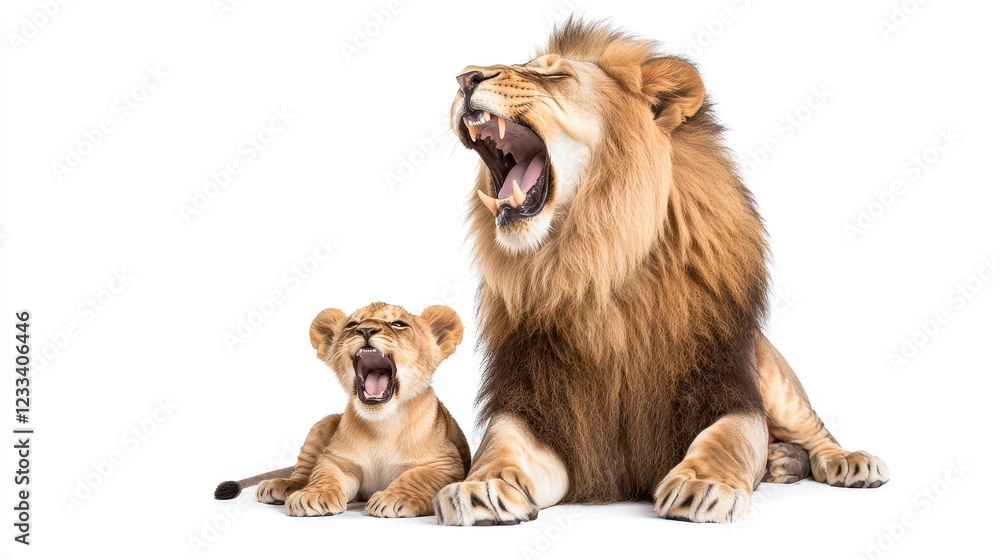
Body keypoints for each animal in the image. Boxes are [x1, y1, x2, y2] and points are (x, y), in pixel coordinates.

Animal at [214, 302, 471, 518]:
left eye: (398, 324)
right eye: (352, 325)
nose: (366, 330)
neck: (382, 425)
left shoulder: (448, 465)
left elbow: (417, 476)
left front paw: (394, 498)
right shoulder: (336, 459)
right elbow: (325, 472)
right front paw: (314, 495)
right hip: (324, 422)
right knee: (302, 471)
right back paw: (282, 485)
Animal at [433, 20, 888, 525]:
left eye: (556, 76)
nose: (465, 78)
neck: (591, 262)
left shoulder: (724, 386)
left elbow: (726, 439)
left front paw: (703, 483)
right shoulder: (543, 409)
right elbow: (501, 445)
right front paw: (481, 485)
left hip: (773, 377)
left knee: (815, 428)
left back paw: (849, 461)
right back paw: (783, 462)